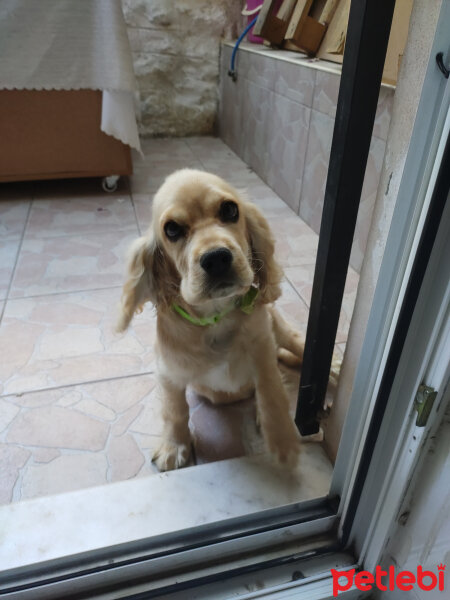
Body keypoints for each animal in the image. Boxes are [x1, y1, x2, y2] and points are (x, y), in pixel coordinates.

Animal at [116, 170, 308, 474]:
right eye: (172, 229)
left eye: (230, 210)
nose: (216, 258)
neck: (216, 317)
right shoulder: (169, 371)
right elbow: (174, 410)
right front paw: (174, 447)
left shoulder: (264, 348)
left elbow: (271, 391)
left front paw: (283, 440)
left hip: (281, 329)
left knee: (300, 345)